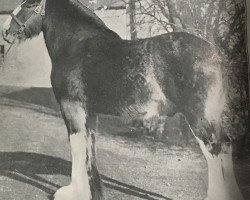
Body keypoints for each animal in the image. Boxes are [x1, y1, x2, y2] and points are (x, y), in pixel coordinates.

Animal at [1, 0, 244, 200]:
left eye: (29, 4)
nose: (5, 31)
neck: (76, 44)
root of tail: (214, 54)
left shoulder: (72, 108)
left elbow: (77, 147)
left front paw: (72, 193)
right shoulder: (89, 113)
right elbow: (89, 148)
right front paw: (91, 192)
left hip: (199, 117)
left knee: (215, 151)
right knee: (226, 147)